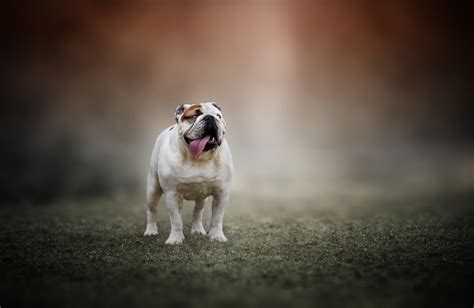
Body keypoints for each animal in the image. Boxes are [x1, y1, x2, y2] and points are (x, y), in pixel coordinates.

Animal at [144, 102, 233, 244]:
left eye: (218, 116)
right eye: (195, 116)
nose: (210, 117)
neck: (199, 158)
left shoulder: (221, 193)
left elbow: (217, 218)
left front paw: (217, 236)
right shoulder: (172, 193)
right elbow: (176, 220)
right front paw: (175, 239)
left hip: (201, 197)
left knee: (198, 211)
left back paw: (197, 229)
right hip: (153, 188)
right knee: (152, 209)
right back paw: (151, 231)